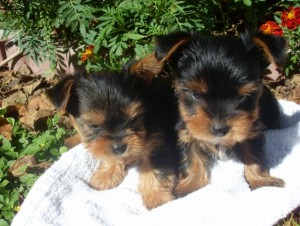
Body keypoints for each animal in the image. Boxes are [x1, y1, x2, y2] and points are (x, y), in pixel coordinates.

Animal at [46, 57, 178, 208]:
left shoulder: (157, 144)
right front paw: (107, 174)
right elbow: (109, 155)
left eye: (134, 119)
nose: (120, 147)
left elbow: (155, 169)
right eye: (93, 126)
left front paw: (156, 198)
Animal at [154, 30, 288, 196]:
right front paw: (191, 185)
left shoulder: (252, 128)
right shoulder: (186, 129)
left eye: (241, 96)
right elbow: (190, 156)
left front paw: (261, 181)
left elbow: (254, 154)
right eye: (195, 95)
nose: (219, 129)